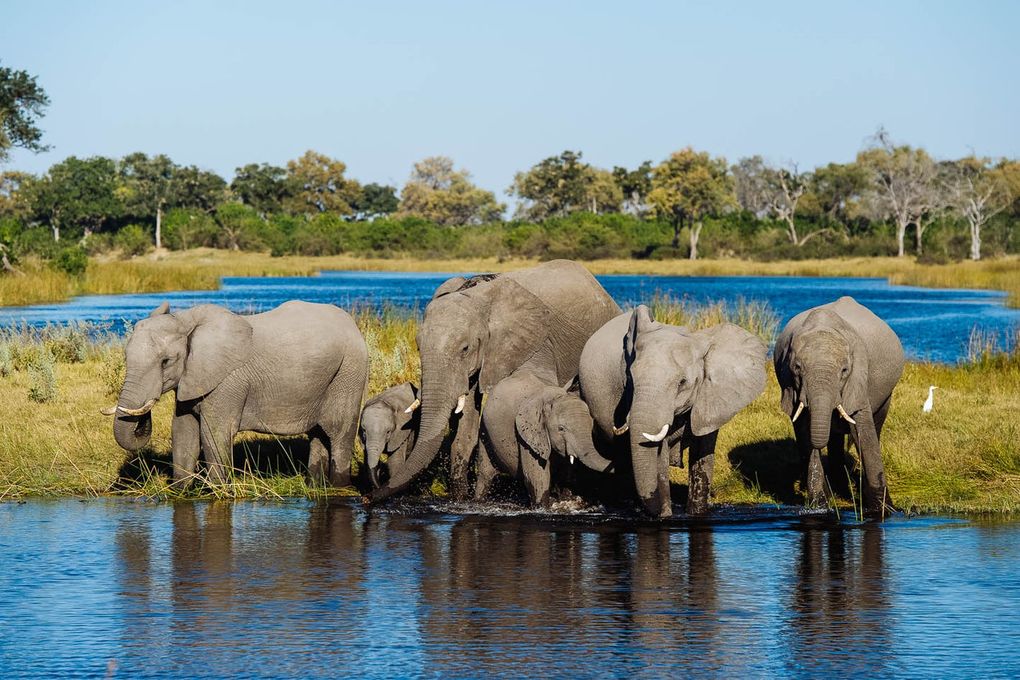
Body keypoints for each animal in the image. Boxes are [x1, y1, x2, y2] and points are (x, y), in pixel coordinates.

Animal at [106, 299, 371, 487]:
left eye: (166, 362)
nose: (141, 419)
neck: (185, 319)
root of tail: (353, 325)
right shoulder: (193, 378)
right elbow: (183, 431)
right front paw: (180, 491)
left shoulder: (227, 381)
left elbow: (213, 433)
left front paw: (219, 491)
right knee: (318, 434)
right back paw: (314, 485)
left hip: (350, 371)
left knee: (339, 433)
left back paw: (339, 486)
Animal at [475, 367, 616, 505]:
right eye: (561, 429)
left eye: (592, 427)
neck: (555, 398)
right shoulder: (527, 436)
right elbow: (537, 477)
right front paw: (542, 506)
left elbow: (565, 474)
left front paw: (565, 498)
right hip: (484, 430)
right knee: (485, 474)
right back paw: (479, 500)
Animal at [583, 305, 767, 517]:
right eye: (630, 379)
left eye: (682, 383)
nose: (657, 508)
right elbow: (659, 454)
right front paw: (665, 515)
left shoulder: (712, 398)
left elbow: (703, 449)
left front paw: (696, 513)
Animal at [775, 293, 905, 515]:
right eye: (797, 368)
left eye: (844, 370)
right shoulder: (790, 384)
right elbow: (803, 431)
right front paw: (819, 507)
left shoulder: (859, 376)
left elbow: (863, 431)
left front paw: (883, 511)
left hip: (886, 394)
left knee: (876, 426)